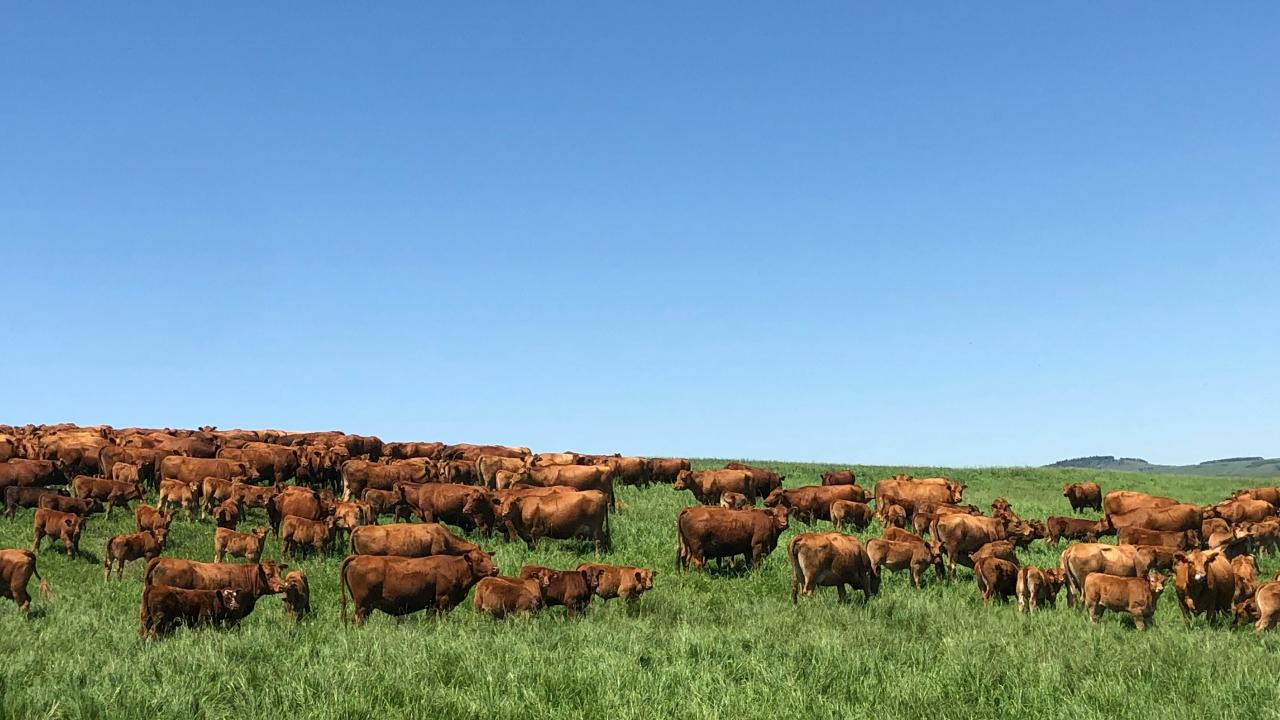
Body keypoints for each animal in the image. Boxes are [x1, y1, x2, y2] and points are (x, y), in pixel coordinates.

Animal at [340, 549, 499, 625]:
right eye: (479, 560)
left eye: (489, 558)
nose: (495, 569)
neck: (455, 567)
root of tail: (359, 557)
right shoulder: (444, 601)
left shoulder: (432, 605)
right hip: (362, 605)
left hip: (366, 607)